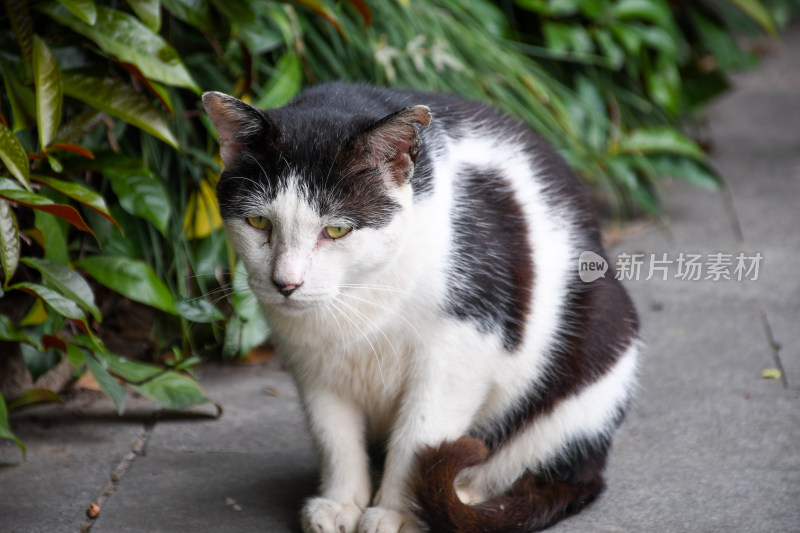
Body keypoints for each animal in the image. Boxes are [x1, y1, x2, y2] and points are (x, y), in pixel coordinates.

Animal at [203, 83, 640, 532]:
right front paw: (341, 503)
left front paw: (396, 514)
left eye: (337, 229)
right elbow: (333, 435)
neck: (358, 300)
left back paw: (466, 498)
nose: (286, 284)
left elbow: (419, 437)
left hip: (595, 350)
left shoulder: (463, 345)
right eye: (259, 223)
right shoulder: (311, 364)